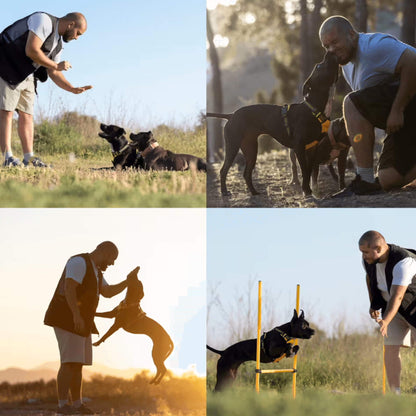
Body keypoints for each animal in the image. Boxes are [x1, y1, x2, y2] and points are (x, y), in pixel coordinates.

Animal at [206, 51, 340, 197]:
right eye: (319, 66)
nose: (329, 52)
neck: (313, 108)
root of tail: (231, 115)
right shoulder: (299, 147)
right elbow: (304, 170)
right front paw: (306, 190)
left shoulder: (312, 148)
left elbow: (309, 171)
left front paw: (309, 190)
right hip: (233, 146)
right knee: (224, 170)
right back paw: (224, 191)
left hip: (250, 149)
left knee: (246, 173)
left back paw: (254, 192)